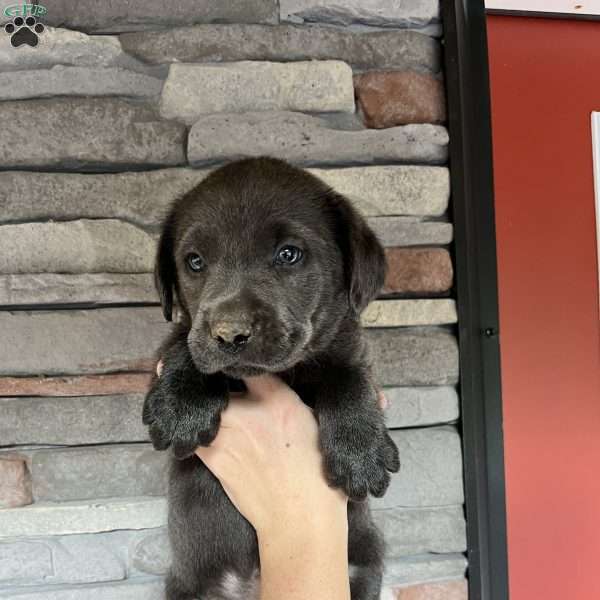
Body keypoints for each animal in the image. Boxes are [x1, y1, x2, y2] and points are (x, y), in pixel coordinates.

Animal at [143, 156, 400, 600]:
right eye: (194, 261)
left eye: (289, 254)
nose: (230, 333)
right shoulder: (186, 335)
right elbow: (183, 342)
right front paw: (180, 406)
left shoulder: (349, 347)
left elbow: (350, 378)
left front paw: (360, 452)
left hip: (366, 565)